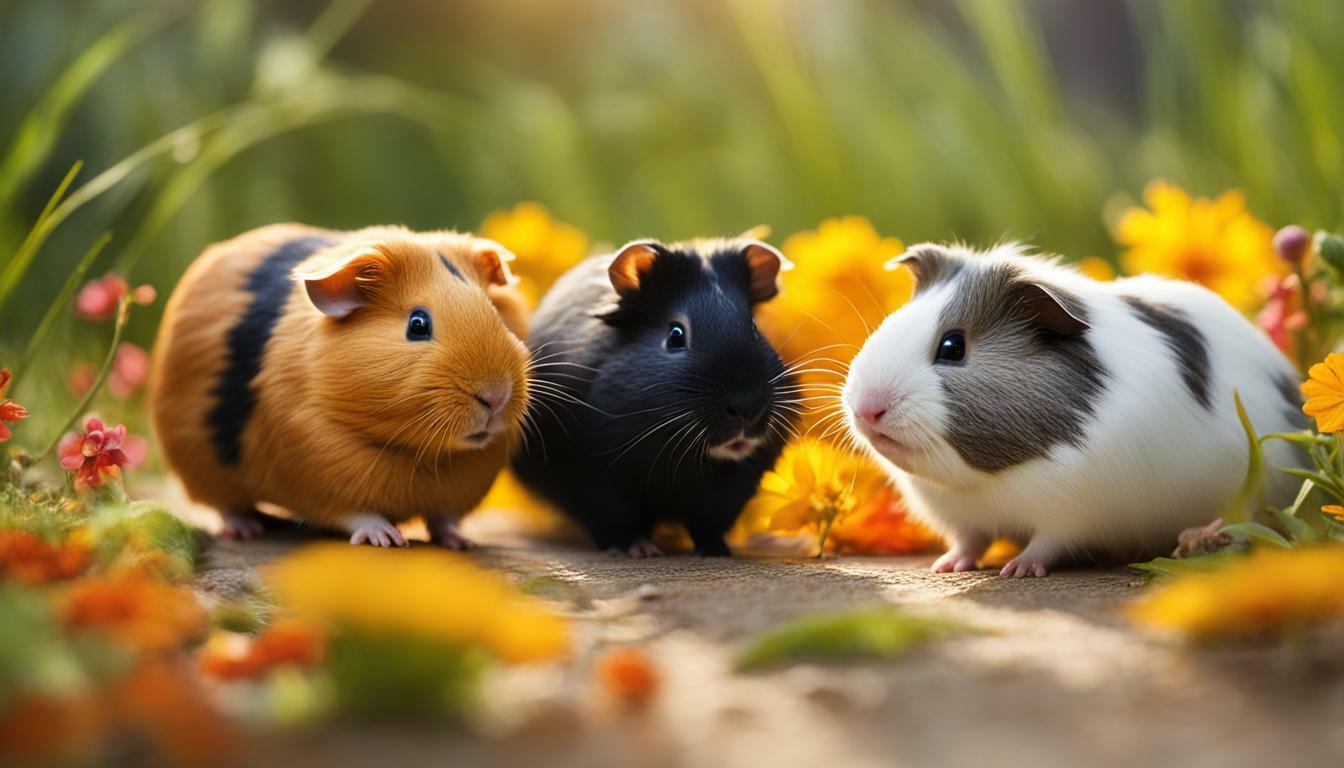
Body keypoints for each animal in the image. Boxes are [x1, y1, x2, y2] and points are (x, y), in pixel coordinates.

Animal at [149, 223, 530, 548]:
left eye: (495, 312)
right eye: (418, 324)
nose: (495, 396)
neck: (422, 458)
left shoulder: (452, 496)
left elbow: (444, 520)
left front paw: (462, 543)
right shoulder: (321, 477)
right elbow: (357, 514)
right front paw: (387, 539)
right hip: (202, 470)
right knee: (225, 506)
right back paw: (245, 530)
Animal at [511, 237, 798, 557]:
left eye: (754, 328)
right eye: (676, 335)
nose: (747, 407)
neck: (679, 464)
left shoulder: (729, 492)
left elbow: (709, 525)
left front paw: (716, 551)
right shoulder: (599, 480)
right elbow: (618, 522)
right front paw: (639, 550)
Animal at [843, 242, 1305, 577]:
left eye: (953, 347)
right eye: (891, 322)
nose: (866, 409)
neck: (992, 480)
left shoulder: (1071, 517)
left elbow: (1046, 545)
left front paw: (1017, 570)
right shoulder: (963, 518)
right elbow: (970, 541)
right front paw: (946, 566)